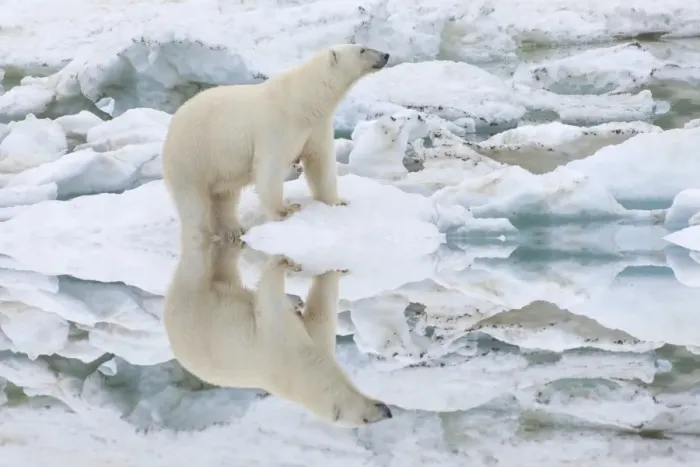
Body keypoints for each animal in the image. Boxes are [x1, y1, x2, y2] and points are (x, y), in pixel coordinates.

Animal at [161, 44, 390, 241]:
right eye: (362, 49)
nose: (386, 55)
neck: (303, 102)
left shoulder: (316, 127)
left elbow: (320, 160)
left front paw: (338, 201)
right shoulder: (277, 125)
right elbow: (270, 167)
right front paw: (285, 210)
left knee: (224, 195)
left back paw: (232, 230)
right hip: (193, 155)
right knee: (193, 203)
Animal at [163, 237, 393, 426]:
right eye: (365, 416)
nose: (387, 410)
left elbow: (319, 316)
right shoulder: (277, 343)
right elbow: (272, 299)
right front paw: (287, 263)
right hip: (195, 308)